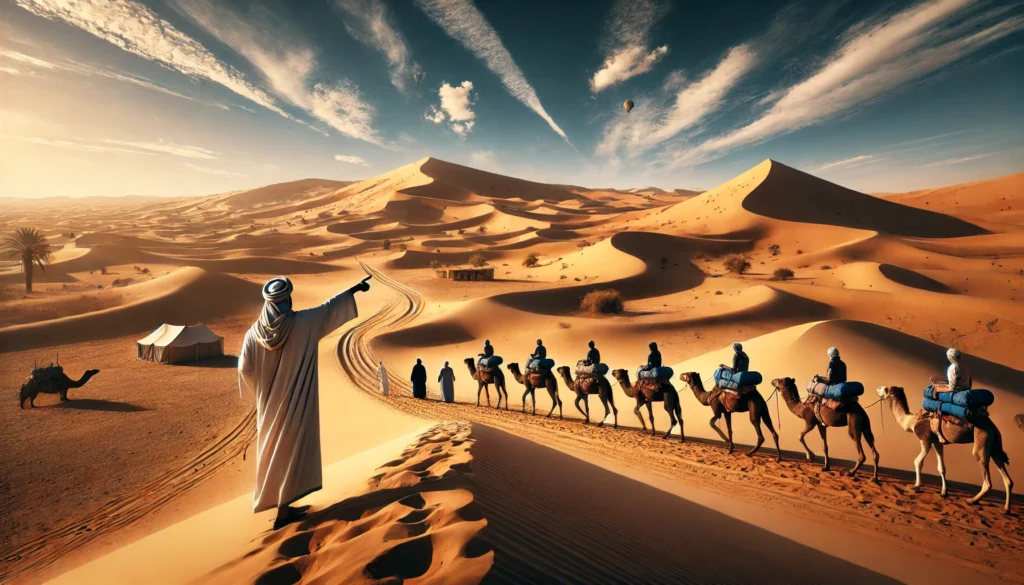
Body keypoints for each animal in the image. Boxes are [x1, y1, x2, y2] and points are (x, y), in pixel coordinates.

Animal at [876, 385, 1011, 512]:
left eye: (885, 388)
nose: (877, 388)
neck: (911, 421)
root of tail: (991, 425)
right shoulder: (937, 442)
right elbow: (941, 467)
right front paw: (944, 492)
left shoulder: (925, 439)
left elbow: (918, 461)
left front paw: (916, 486)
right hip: (994, 443)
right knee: (1006, 475)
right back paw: (1006, 509)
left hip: (982, 435)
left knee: (986, 476)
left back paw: (971, 500)